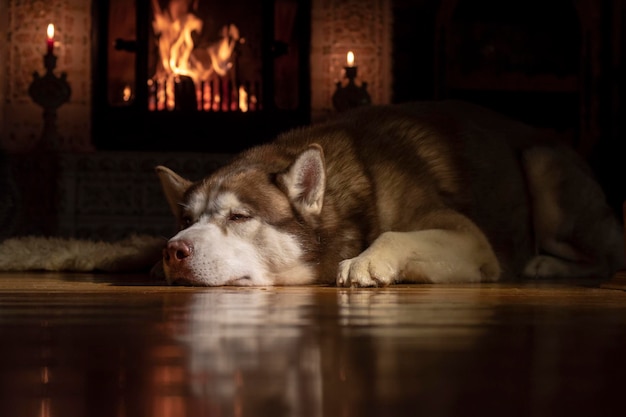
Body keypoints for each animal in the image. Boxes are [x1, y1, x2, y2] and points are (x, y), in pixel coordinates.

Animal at [156, 100, 624, 286]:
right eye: (186, 220)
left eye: (239, 217)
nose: (173, 250)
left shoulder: (472, 241)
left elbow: (393, 233)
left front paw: (366, 261)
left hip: (543, 168)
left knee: (607, 256)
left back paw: (546, 265)